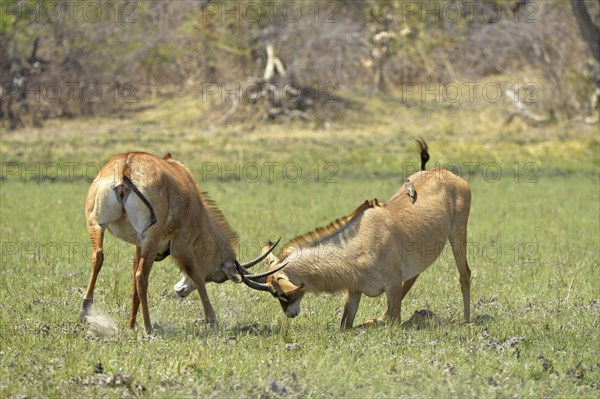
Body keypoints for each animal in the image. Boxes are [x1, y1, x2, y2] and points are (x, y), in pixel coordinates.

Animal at [80, 152, 284, 332]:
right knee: (141, 276)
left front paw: (130, 325)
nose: (180, 290)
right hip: (151, 237)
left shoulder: (139, 245)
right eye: (217, 277)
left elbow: (133, 284)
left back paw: (85, 310)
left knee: (98, 256)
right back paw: (148, 327)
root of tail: (126, 167)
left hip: (97, 224)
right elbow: (198, 277)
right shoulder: (182, 246)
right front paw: (213, 320)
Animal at [237, 141, 472, 332]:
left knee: (465, 274)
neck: (359, 242)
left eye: (279, 293)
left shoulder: (392, 286)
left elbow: (394, 322)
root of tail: (446, 174)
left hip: (458, 234)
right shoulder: (354, 290)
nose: (290, 314)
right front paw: (369, 322)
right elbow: (346, 325)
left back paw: (467, 320)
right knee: (414, 276)